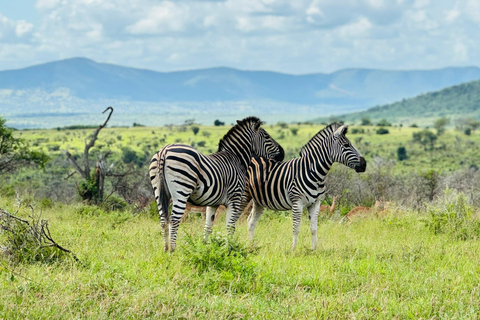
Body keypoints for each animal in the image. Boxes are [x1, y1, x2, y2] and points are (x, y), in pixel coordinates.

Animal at [149, 116, 284, 251]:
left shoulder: (212, 203)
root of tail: (164, 151)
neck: (236, 159)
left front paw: (204, 248)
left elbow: (208, 227)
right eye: (266, 136)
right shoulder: (234, 198)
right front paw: (229, 249)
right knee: (174, 219)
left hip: (159, 191)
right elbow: (230, 226)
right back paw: (173, 250)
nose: (282, 153)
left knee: (163, 220)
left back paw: (166, 249)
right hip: (181, 190)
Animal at [240, 122, 368, 250]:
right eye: (346, 145)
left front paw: (314, 250)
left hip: (258, 200)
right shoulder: (297, 203)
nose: (364, 164)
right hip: (243, 195)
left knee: (250, 222)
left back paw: (251, 247)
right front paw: (293, 250)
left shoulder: (315, 203)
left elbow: (314, 229)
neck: (314, 173)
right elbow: (296, 229)